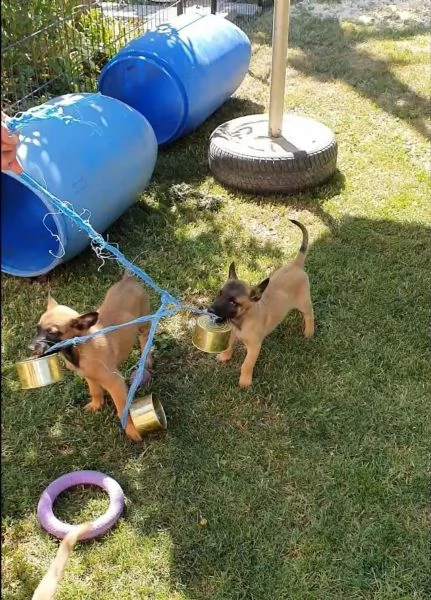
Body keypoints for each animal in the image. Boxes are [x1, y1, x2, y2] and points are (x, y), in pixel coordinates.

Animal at [29, 272, 152, 440]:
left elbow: (123, 410)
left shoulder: (115, 383)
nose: (30, 348)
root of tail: (128, 278)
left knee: (145, 338)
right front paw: (96, 404)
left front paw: (131, 429)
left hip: (144, 323)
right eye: (38, 328)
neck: (79, 348)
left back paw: (147, 357)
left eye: (52, 333)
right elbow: (95, 390)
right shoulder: (89, 377)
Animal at [208, 220, 314, 390]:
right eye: (220, 293)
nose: (210, 310)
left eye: (233, 302)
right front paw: (225, 356)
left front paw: (245, 381)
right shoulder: (232, 335)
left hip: (303, 302)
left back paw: (309, 331)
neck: (241, 320)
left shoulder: (254, 347)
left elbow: (246, 365)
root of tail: (296, 265)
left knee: (309, 315)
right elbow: (229, 346)